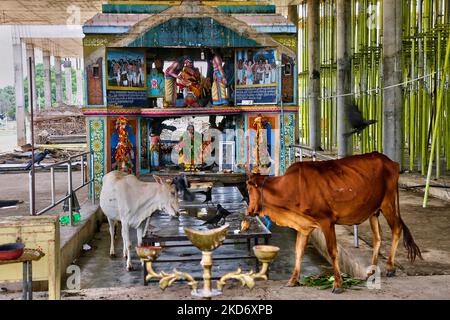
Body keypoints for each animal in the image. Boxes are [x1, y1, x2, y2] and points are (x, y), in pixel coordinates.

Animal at [246, 151, 422, 294]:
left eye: (249, 188)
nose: (248, 211)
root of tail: (391, 162)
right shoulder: (304, 226)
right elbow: (298, 251)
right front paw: (292, 280)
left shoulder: (326, 221)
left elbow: (332, 251)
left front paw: (338, 284)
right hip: (374, 210)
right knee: (377, 237)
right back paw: (371, 272)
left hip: (388, 203)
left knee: (397, 229)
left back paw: (390, 268)